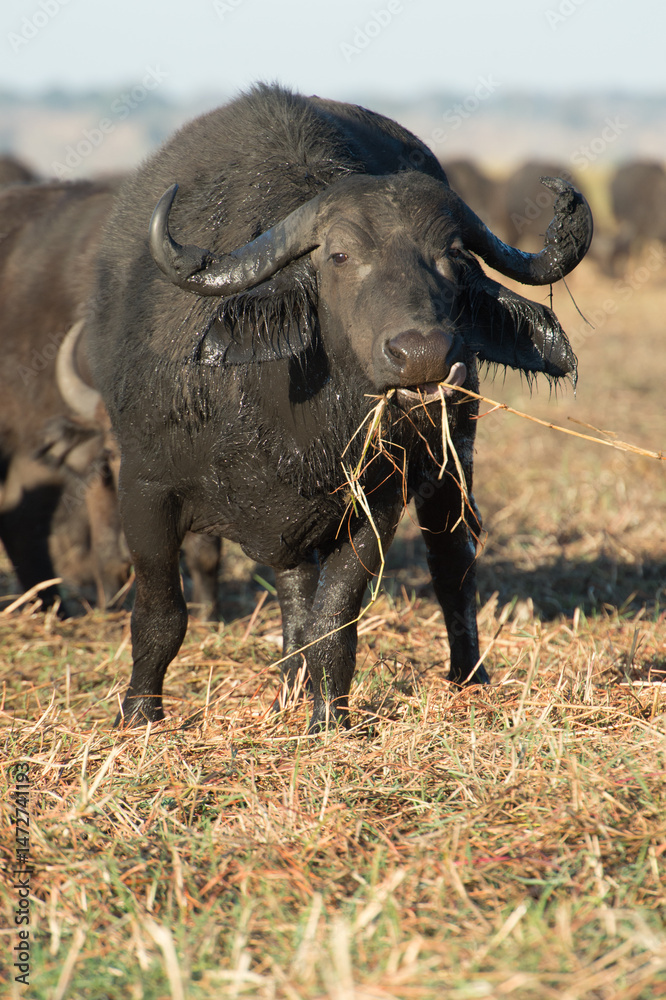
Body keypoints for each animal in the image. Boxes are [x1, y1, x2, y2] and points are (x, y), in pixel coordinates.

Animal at [88, 84, 592, 731]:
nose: (422, 353)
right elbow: (161, 613)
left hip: (452, 456)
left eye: (455, 255)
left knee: (452, 562)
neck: (281, 415)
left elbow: (334, 619)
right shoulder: (144, 489)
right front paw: (138, 716)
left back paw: (467, 678)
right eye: (341, 256)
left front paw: (329, 717)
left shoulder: (379, 498)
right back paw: (287, 689)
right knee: (295, 591)